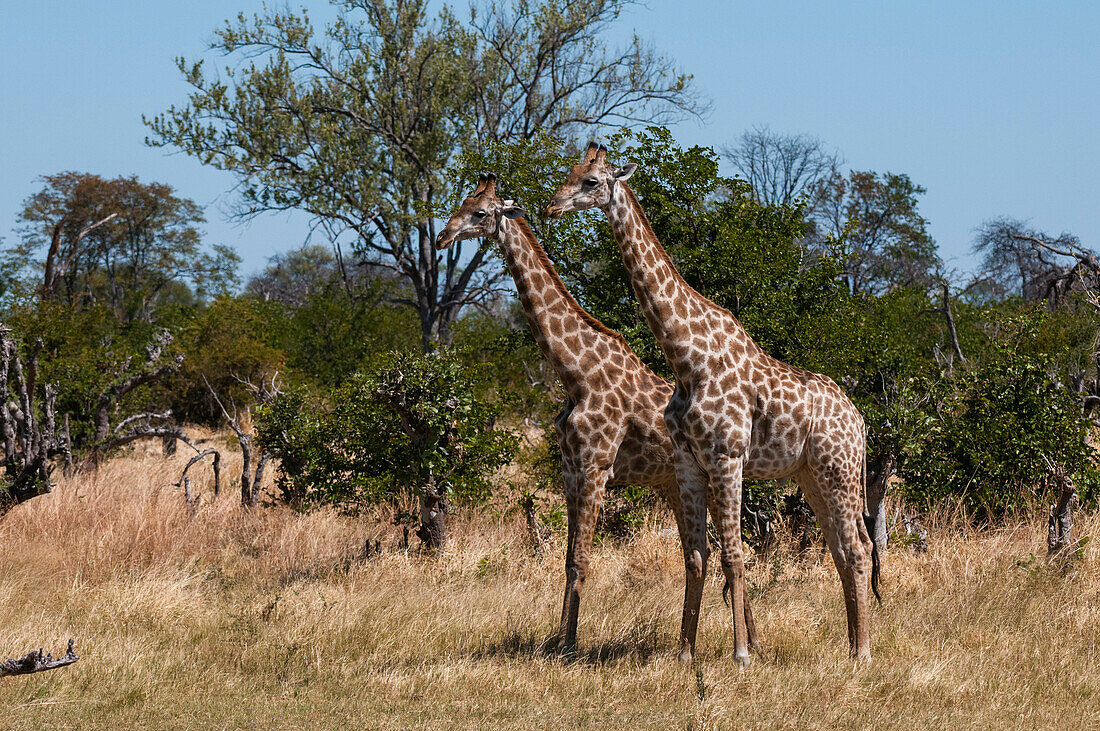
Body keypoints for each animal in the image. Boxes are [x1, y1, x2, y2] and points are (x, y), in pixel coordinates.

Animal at [433, 175, 761, 655]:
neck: (575, 371)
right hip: (676, 484)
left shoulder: (594, 466)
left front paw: (569, 647)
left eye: (479, 212)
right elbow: (568, 558)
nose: (441, 237)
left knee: (733, 550)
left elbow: (582, 559)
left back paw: (748, 643)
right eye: (461, 203)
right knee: (703, 554)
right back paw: (739, 642)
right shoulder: (570, 468)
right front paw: (557, 641)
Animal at [545, 145, 880, 663]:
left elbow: (734, 554)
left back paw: (862, 652)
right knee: (844, 550)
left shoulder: (727, 457)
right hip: (812, 474)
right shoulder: (688, 462)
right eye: (570, 173)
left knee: (858, 549)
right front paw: (686, 654)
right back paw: (850, 646)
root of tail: (860, 421)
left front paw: (742, 655)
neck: (687, 357)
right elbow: (697, 555)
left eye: (592, 182)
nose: (551, 206)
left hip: (839, 470)